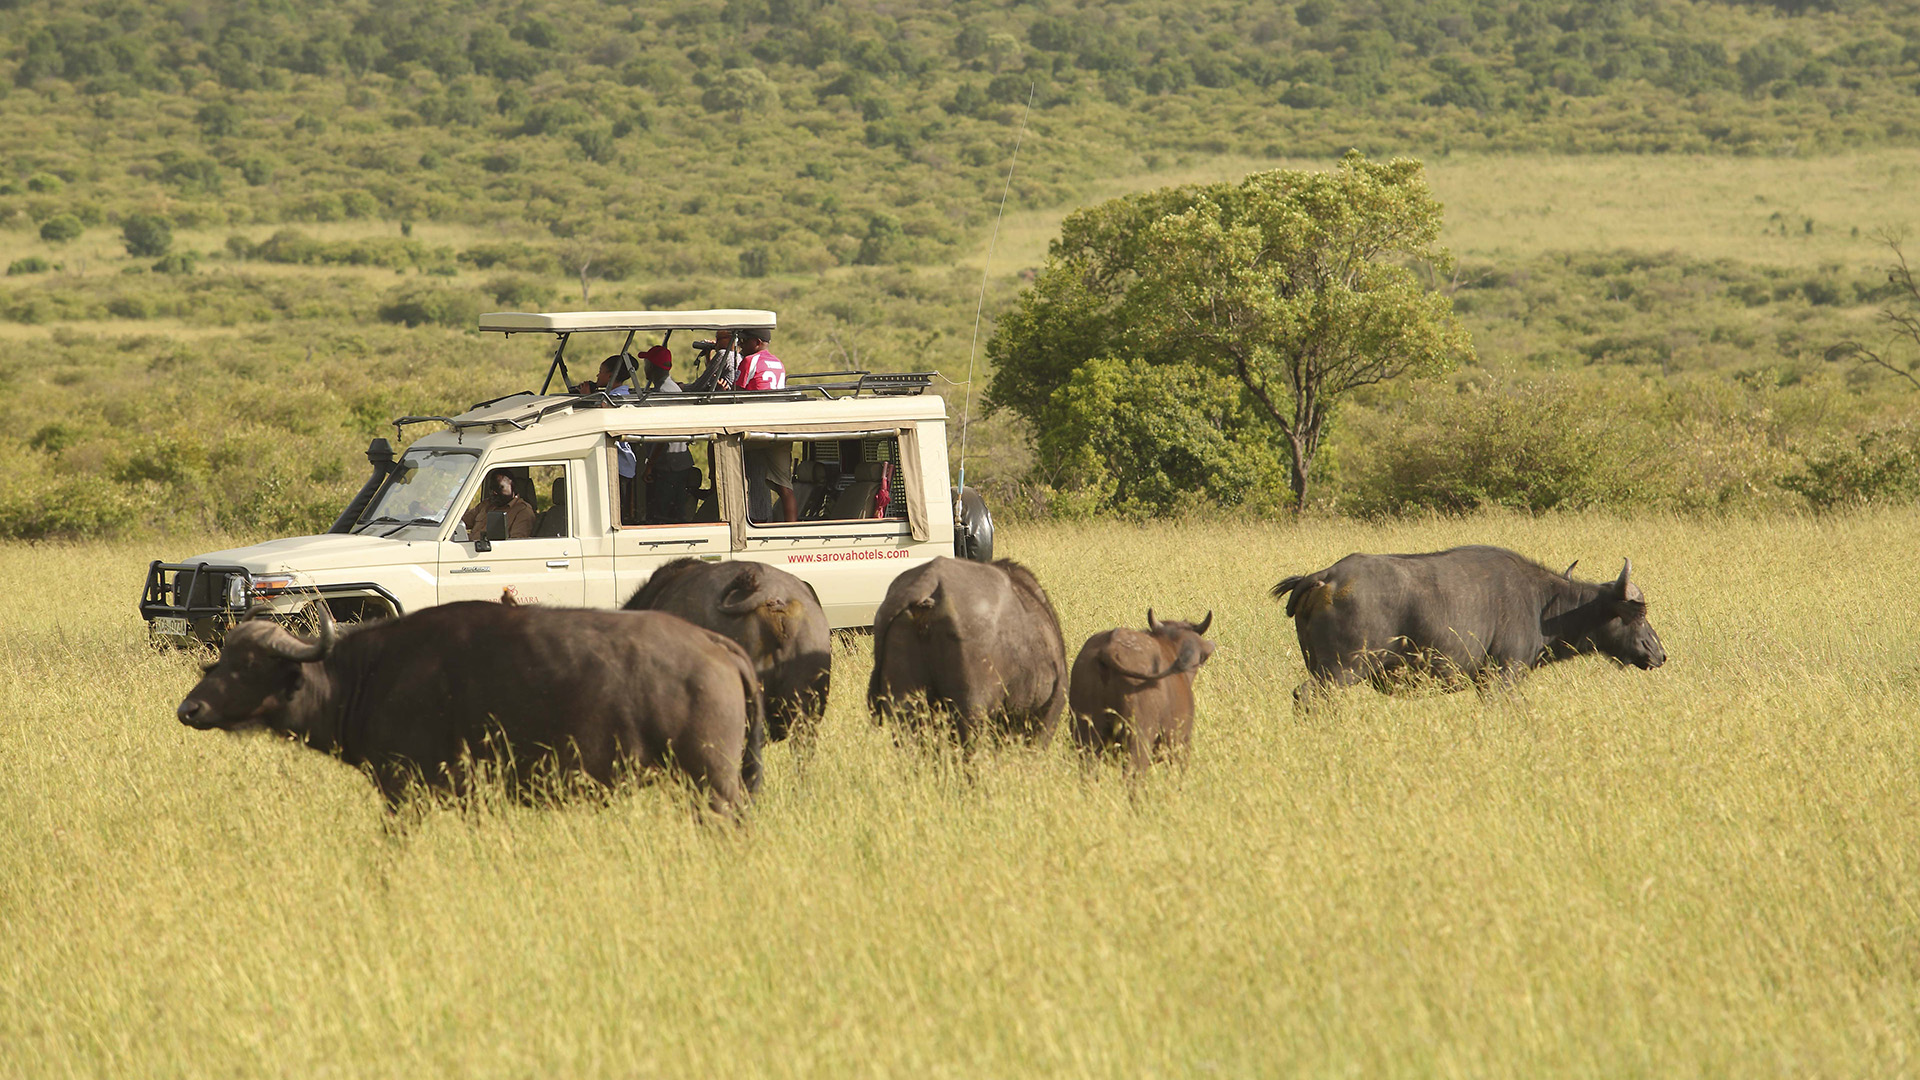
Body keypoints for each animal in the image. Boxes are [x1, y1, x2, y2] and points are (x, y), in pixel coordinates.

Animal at [176, 603, 766, 813]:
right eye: (220, 658)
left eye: (250, 664)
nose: (190, 710)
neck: (371, 674)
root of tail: (715, 645)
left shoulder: (408, 792)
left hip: (713, 782)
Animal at [1270, 546, 1666, 704]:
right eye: (1639, 613)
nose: (1659, 653)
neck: (1541, 604)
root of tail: (1325, 577)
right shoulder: (1501, 678)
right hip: (1341, 670)